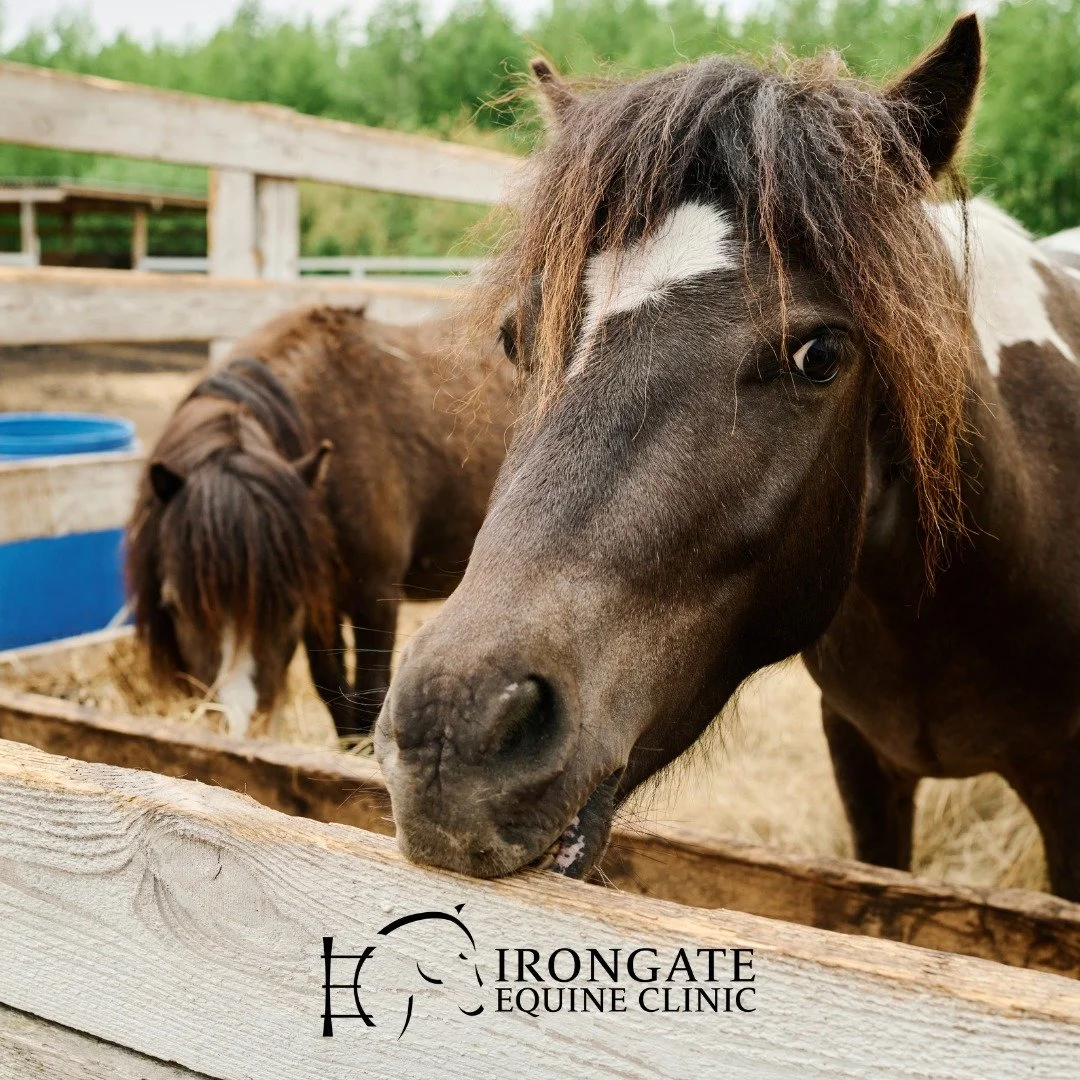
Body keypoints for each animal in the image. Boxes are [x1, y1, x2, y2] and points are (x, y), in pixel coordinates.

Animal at [127, 305, 512, 739]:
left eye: (285, 606)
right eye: (175, 605)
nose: (241, 731)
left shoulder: (374, 596)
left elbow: (370, 696)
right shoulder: (319, 601)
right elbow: (333, 692)